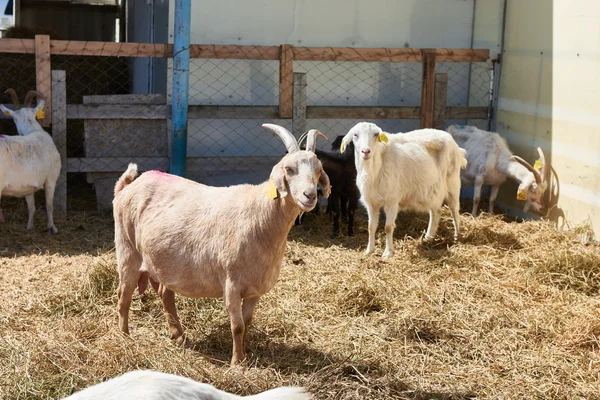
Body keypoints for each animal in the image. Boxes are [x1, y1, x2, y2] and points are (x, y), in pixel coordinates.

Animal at [0, 89, 61, 233]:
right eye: (14, 119)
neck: (33, 130)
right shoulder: (51, 179)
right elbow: (49, 205)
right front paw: (53, 228)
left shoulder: (28, 184)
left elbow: (31, 207)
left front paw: (29, 227)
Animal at [110, 124, 330, 366]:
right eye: (289, 169)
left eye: (319, 169)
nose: (310, 195)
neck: (260, 216)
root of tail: (128, 185)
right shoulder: (231, 283)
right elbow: (237, 326)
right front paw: (236, 363)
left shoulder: (254, 289)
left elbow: (247, 322)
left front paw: (245, 356)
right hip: (127, 249)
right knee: (123, 297)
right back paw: (124, 337)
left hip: (164, 263)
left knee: (165, 294)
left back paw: (178, 336)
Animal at [340, 122, 466, 258]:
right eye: (355, 135)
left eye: (376, 134)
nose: (366, 151)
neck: (375, 168)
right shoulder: (371, 202)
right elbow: (371, 227)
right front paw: (369, 250)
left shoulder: (392, 200)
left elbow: (388, 227)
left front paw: (388, 253)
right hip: (433, 189)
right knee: (436, 212)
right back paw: (428, 237)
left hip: (453, 181)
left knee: (454, 210)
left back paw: (457, 237)